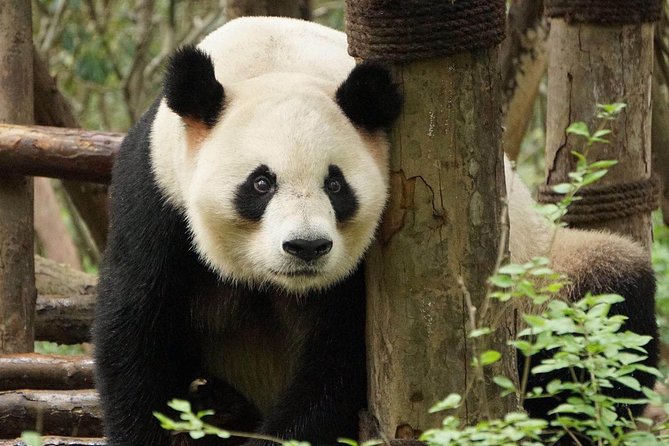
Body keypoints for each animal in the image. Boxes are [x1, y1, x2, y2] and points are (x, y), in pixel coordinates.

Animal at [93, 16, 657, 446]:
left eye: (335, 184)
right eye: (261, 182)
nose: (306, 247)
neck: (275, 61)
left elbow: (342, 362)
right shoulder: (157, 195)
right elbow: (138, 327)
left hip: (543, 274)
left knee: (606, 309)